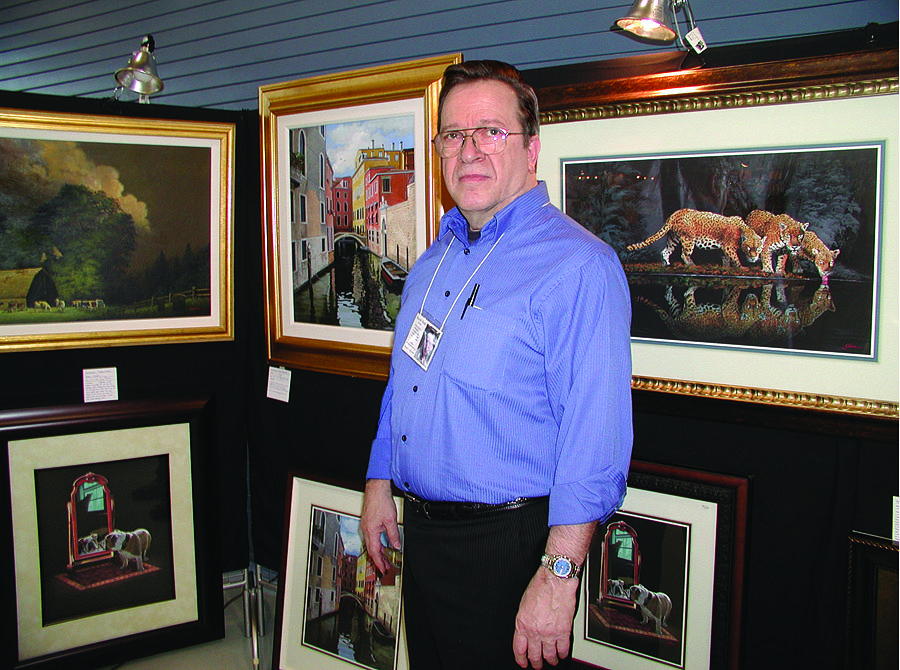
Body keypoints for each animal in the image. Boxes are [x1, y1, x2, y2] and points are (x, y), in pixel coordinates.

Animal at [624, 209, 768, 270]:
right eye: (749, 248)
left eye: (758, 249)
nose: (754, 258)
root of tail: (676, 213)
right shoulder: (728, 247)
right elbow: (735, 258)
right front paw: (742, 268)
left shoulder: (723, 248)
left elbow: (726, 259)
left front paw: (726, 268)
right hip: (689, 239)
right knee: (684, 254)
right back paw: (692, 265)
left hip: (673, 238)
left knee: (665, 251)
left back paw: (666, 264)